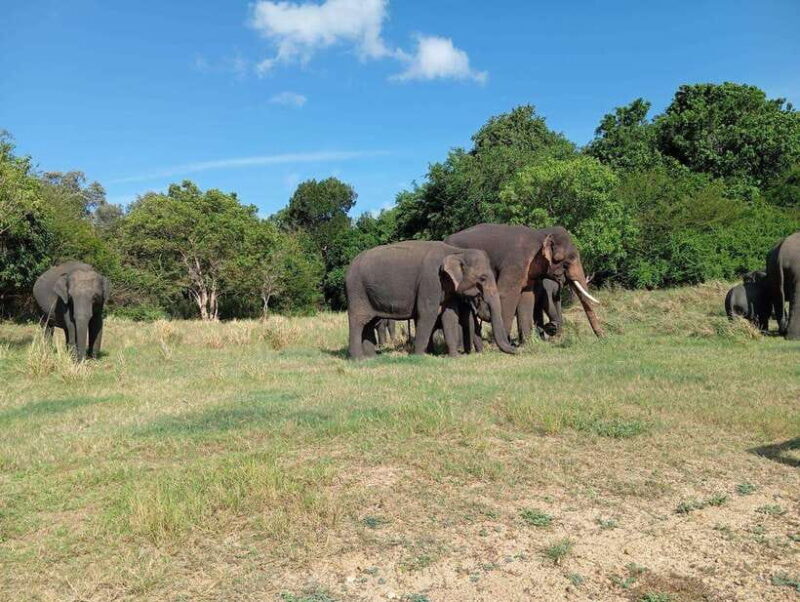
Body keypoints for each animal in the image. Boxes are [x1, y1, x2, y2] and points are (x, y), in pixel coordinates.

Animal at [345, 240, 516, 359]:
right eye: (482, 278)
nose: (516, 349)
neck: (456, 251)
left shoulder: (447, 287)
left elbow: (449, 316)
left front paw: (455, 357)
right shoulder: (430, 280)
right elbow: (428, 313)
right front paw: (418, 357)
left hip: (370, 294)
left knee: (370, 321)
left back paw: (372, 358)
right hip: (357, 291)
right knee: (358, 320)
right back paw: (358, 359)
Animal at [445, 224, 602, 340]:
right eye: (569, 260)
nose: (603, 338)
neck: (541, 234)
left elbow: (527, 299)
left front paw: (527, 344)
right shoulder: (515, 264)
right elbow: (506, 296)